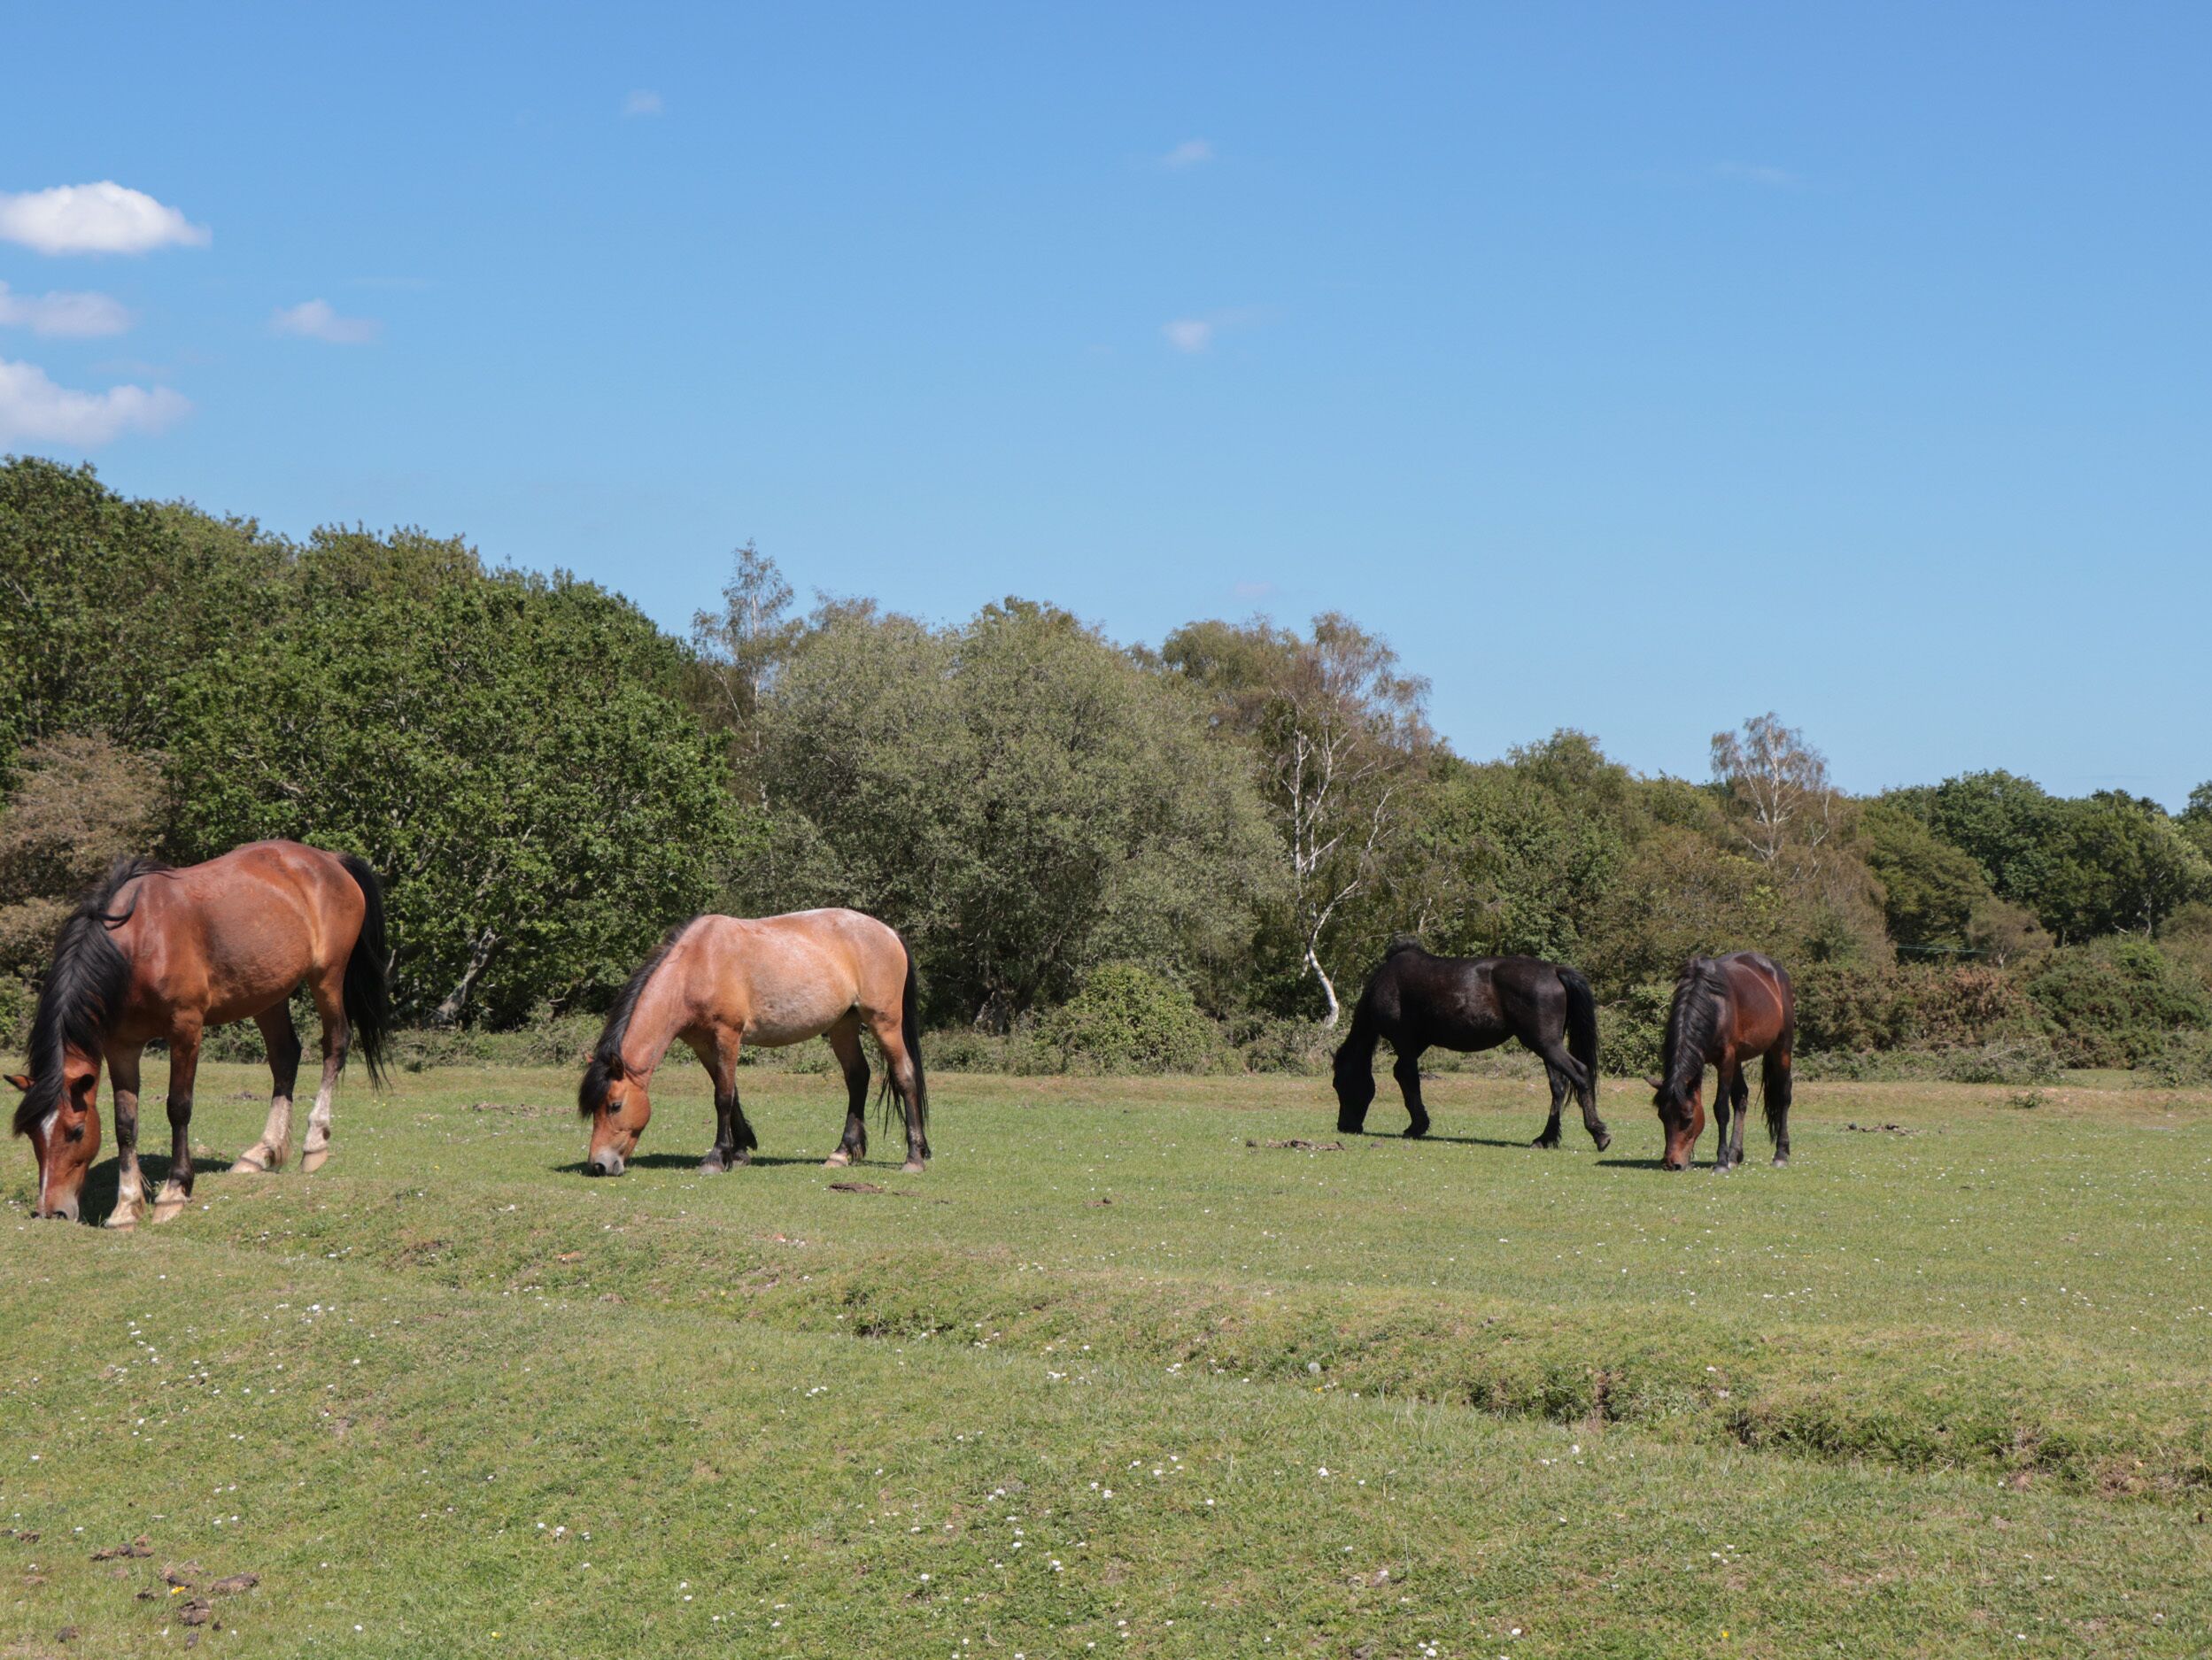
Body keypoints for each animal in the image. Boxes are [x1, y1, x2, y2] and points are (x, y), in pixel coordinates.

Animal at [7, 841, 391, 1227]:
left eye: (76, 1131)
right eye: (32, 1134)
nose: (51, 1212)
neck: (139, 944)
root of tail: (329, 860)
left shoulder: (186, 1030)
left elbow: (178, 1107)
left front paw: (174, 1191)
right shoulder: (121, 1046)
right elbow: (125, 1122)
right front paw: (126, 1206)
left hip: (327, 977)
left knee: (335, 1045)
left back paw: (315, 1143)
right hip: (268, 995)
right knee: (285, 1057)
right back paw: (261, 1153)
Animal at [577, 907, 928, 1178]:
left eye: (615, 1105)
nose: (599, 1165)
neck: (697, 964)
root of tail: (890, 933)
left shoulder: (727, 1035)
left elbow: (722, 1096)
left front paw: (716, 1158)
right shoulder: (703, 1044)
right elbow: (730, 1093)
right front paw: (740, 1151)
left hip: (884, 1023)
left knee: (905, 1076)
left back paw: (914, 1157)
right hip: (844, 1024)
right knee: (857, 1077)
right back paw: (841, 1153)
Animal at [1332, 940, 1609, 1149]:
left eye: (1338, 1084)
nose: (1344, 1126)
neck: (1386, 981)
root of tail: (1554, 971)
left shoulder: (1404, 1044)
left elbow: (1406, 1078)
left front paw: (1416, 1126)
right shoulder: (1417, 1045)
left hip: (1546, 1045)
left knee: (1580, 1074)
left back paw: (1599, 1134)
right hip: (1548, 1048)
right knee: (1558, 1087)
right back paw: (1545, 1138)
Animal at [1649, 951, 1794, 1172]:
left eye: (1688, 1118)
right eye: (1661, 1116)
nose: (1671, 1164)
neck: (1713, 1004)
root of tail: (1777, 972)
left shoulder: (1725, 1060)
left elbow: (1721, 1109)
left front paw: (1721, 1163)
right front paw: (1727, 1158)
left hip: (1782, 1049)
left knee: (1784, 1097)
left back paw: (1780, 1154)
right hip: (1740, 1058)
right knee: (1741, 1098)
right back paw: (1735, 1155)